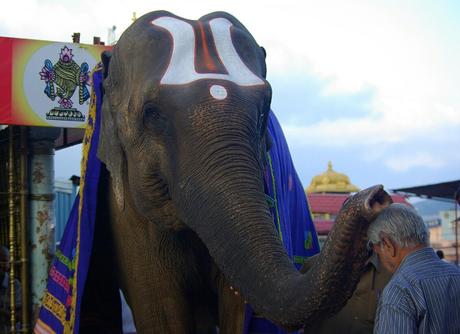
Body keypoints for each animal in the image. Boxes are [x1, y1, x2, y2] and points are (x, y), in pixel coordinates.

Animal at [82, 9, 392, 332]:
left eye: (264, 108)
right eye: (151, 114)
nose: (376, 197)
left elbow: (236, 303)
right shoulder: (126, 215)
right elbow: (162, 312)